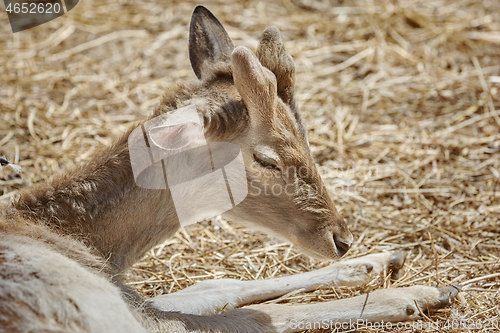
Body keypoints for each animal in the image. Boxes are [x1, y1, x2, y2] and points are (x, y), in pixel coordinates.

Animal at [0, 5, 458, 332]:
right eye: (267, 159)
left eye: (308, 140)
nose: (342, 240)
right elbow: (257, 318)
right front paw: (423, 292)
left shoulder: (132, 298)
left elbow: (216, 286)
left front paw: (382, 260)